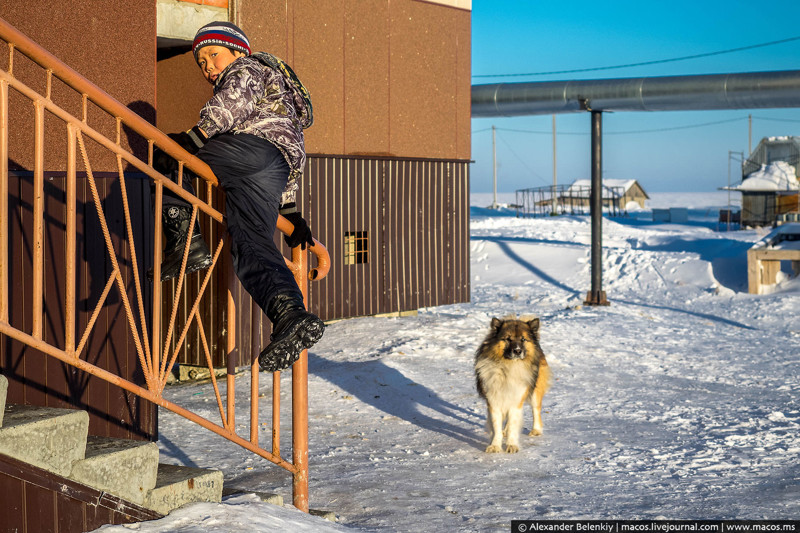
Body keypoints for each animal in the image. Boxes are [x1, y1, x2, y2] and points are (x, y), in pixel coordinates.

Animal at [476, 318, 552, 450]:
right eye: (508, 339)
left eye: (523, 339)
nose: (517, 351)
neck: (508, 368)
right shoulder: (494, 400)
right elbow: (496, 426)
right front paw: (495, 446)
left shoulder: (517, 399)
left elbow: (513, 424)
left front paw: (511, 445)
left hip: (535, 392)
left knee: (536, 410)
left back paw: (536, 430)